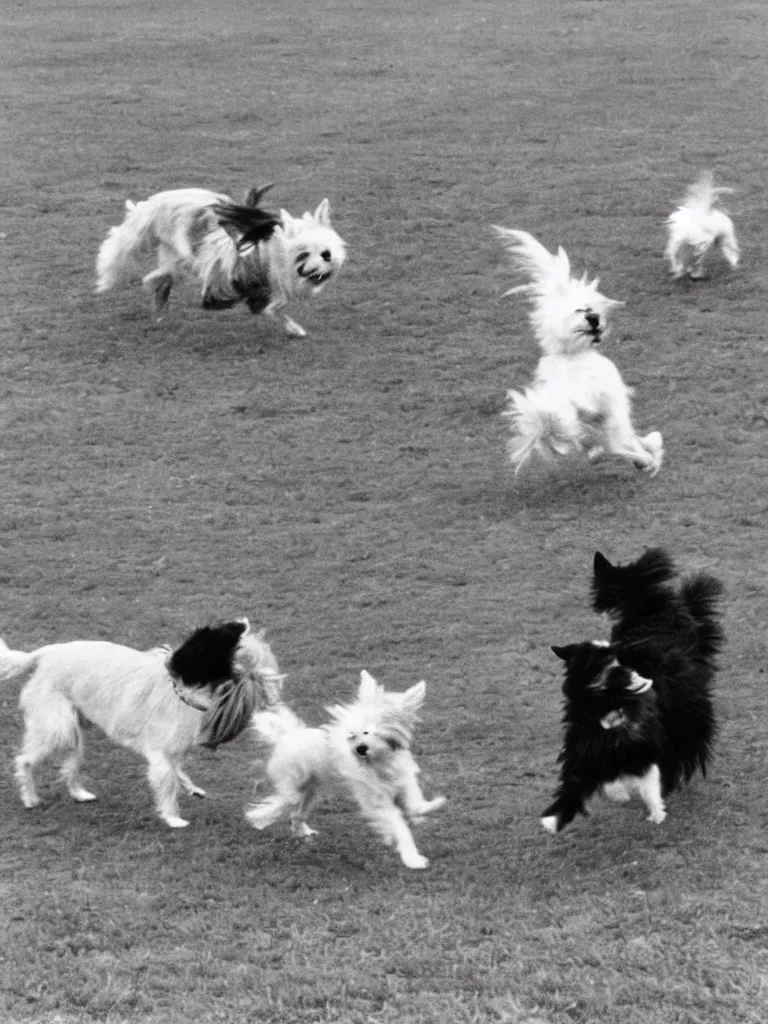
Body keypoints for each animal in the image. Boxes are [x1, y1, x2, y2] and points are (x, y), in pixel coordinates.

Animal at [3, 618, 286, 827]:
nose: (269, 686)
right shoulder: (161, 755)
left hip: (75, 731)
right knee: (25, 760)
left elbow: (176, 774)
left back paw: (79, 793)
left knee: (70, 765)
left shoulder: (173, 752)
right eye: (231, 654)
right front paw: (173, 819)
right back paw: (30, 798)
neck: (181, 689)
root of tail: (45, 654)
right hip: (55, 728)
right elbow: (167, 784)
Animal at [95, 186, 346, 337]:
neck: (268, 250)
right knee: (123, 253)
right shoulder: (228, 267)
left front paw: (292, 327)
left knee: (165, 275)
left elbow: (274, 306)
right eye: (304, 254)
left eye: (326, 253)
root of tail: (153, 203)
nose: (322, 267)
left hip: (174, 252)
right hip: (150, 237)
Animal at [246, 671, 448, 872]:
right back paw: (260, 817)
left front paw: (425, 810)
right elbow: (398, 825)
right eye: (354, 734)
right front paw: (412, 857)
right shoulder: (375, 798)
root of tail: (287, 736)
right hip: (294, 785)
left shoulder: (403, 778)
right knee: (283, 803)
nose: (360, 748)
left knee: (297, 814)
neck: (379, 761)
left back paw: (303, 832)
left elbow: (414, 803)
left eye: (375, 731)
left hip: (311, 791)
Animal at [495, 228, 663, 475]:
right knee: (619, 442)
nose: (594, 319)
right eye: (580, 310)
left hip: (583, 427)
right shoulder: (613, 405)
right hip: (607, 416)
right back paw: (647, 459)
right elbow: (629, 438)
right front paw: (651, 451)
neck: (570, 353)